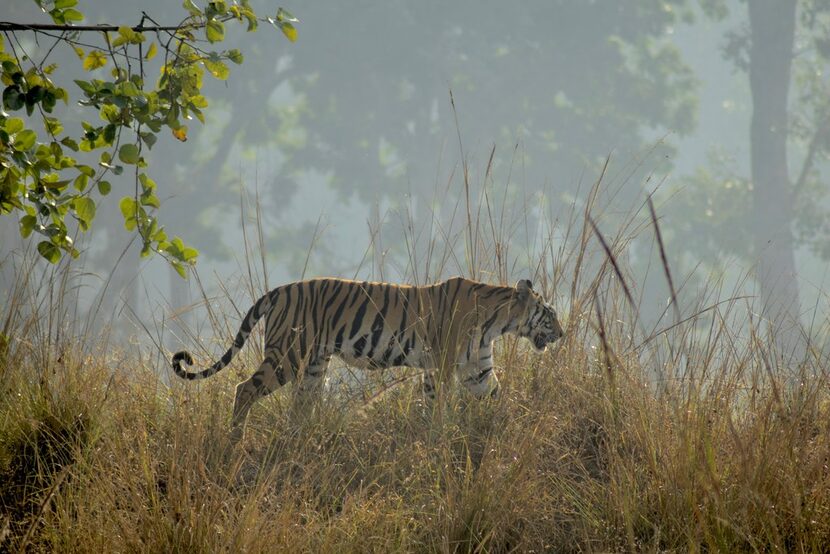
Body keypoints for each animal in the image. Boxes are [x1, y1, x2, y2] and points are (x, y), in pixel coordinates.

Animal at [174, 276, 564, 440]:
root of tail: (278, 290)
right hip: (288, 355)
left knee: (299, 407)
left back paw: (299, 438)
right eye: (550, 313)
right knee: (244, 389)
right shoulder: (442, 366)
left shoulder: (477, 372)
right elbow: (438, 405)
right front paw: (438, 435)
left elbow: (500, 399)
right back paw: (235, 439)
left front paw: (517, 425)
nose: (562, 334)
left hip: (313, 365)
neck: (497, 323)